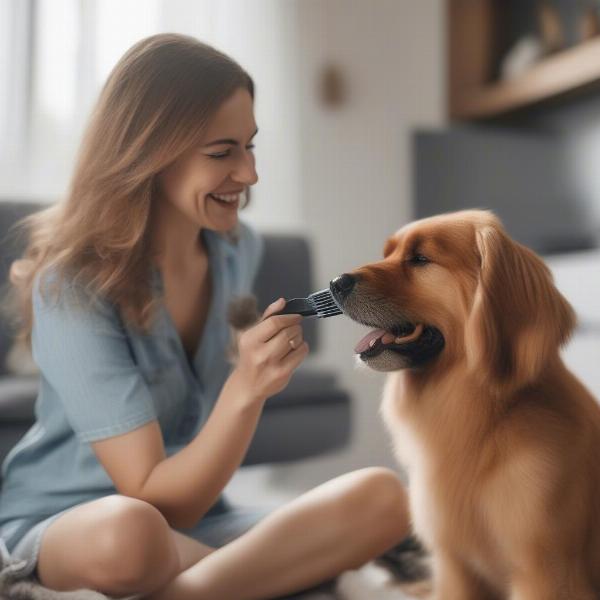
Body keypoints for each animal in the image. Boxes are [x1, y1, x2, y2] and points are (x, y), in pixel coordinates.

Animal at [330, 211, 600, 600]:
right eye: (388, 253)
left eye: (420, 259)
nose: (335, 283)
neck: (482, 417)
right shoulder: (454, 564)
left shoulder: (544, 573)